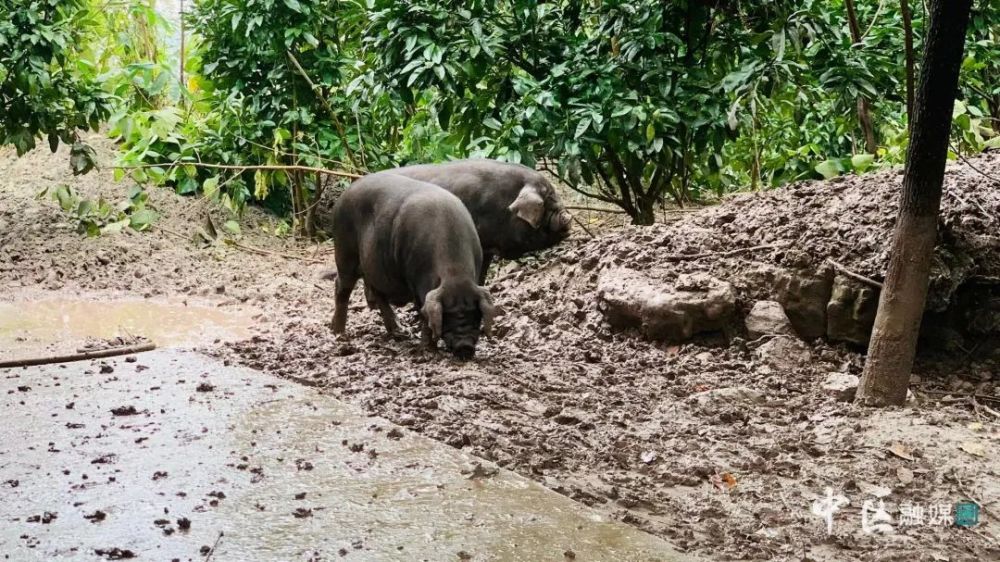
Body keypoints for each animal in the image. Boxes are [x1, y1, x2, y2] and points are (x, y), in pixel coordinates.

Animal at [330, 170, 498, 358]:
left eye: (476, 315)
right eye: (447, 316)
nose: (465, 346)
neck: (455, 272)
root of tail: (343, 196)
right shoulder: (416, 281)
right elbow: (423, 313)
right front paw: (427, 350)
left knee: (377, 293)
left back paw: (398, 332)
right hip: (344, 250)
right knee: (342, 287)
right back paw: (339, 333)